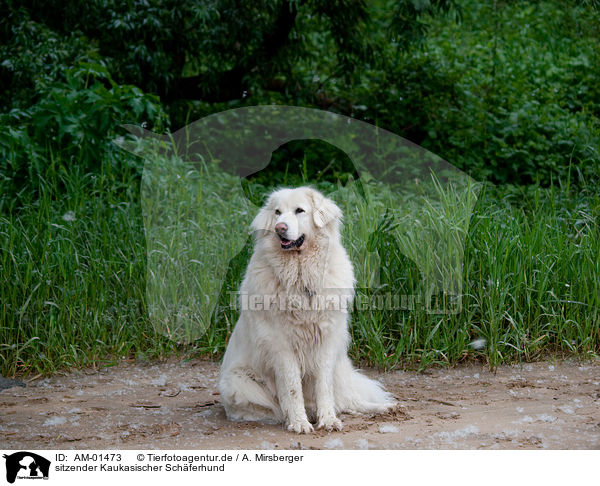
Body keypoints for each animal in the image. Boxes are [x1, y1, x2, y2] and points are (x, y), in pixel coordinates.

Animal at [218, 186, 396, 432]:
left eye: (299, 211)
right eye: (277, 212)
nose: (280, 228)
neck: (301, 276)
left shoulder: (327, 342)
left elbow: (324, 387)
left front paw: (328, 419)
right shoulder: (282, 347)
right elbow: (293, 389)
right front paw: (299, 423)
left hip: (340, 367)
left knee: (348, 401)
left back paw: (383, 409)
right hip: (238, 382)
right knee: (275, 407)